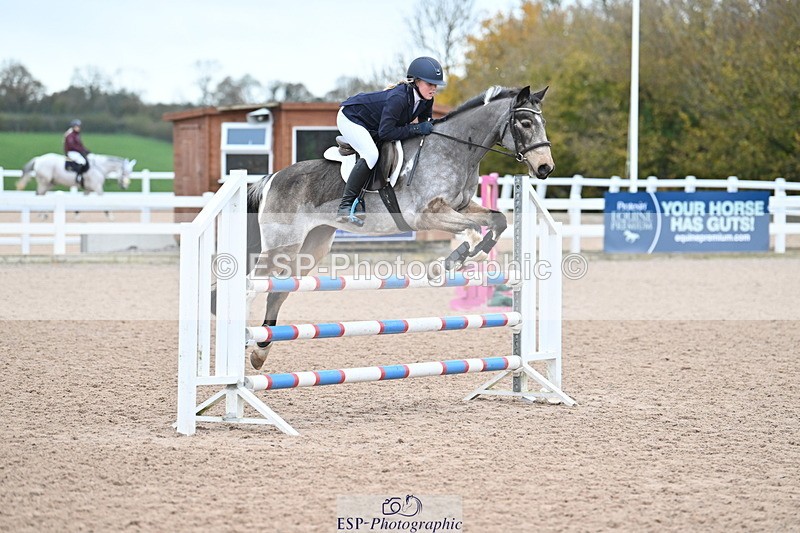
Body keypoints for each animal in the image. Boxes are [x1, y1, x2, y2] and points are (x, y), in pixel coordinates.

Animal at [243, 85, 554, 370]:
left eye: (543, 123)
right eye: (525, 123)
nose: (545, 168)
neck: (454, 150)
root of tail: (273, 178)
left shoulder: (463, 207)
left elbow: (497, 221)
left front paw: (466, 258)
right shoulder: (426, 215)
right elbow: (470, 231)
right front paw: (448, 263)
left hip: (311, 247)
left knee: (277, 291)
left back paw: (260, 352)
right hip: (282, 246)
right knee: (252, 284)